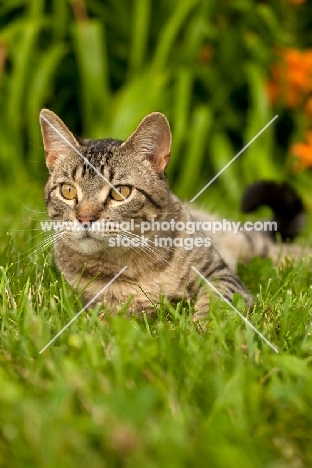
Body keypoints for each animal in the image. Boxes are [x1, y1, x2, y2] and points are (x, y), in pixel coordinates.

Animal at [39, 110, 308, 318]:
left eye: (119, 192)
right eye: (68, 190)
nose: (85, 218)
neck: (135, 264)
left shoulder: (219, 273)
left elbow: (217, 301)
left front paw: (203, 327)